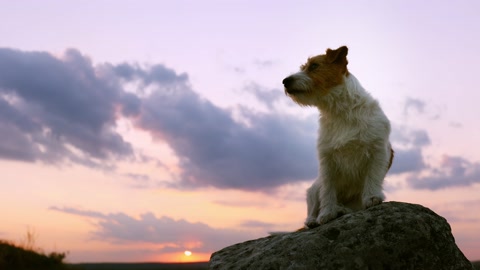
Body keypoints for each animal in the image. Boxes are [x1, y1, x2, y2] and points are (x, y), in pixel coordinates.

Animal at [284, 46, 392, 228]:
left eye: (314, 66)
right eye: (304, 67)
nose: (285, 81)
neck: (339, 111)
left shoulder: (377, 150)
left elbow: (372, 177)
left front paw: (372, 197)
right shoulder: (327, 160)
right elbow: (328, 191)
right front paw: (327, 213)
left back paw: (342, 209)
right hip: (314, 188)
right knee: (312, 208)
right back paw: (315, 219)